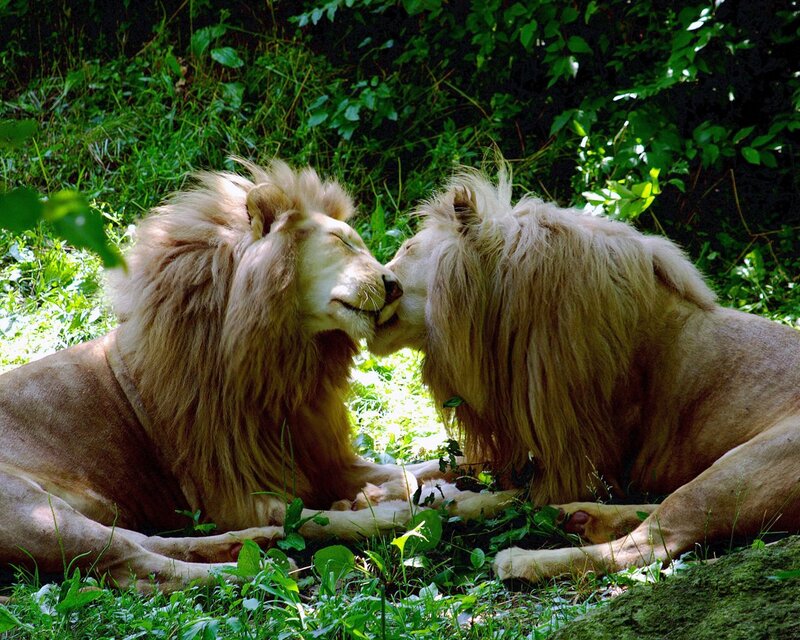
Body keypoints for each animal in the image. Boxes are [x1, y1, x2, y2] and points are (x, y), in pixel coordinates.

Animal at [0, 159, 421, 592]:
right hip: (34, 514)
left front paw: (413, 484)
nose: (395, 287)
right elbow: (322, 520)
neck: (285, 365)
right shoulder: (234, 495)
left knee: (148, 545)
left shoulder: (315, 458)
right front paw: (397, 510)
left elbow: (407, 469)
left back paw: (253, 544)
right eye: (343, 242)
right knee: (138, 567)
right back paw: (261, 567)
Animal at [368, 168, 800, 583]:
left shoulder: (579, 455)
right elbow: (444, 463)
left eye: (407, 249)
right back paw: (577, 516)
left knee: (650, 542)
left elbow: (496, 494)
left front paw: (438, 501)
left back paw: (523, 560)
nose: (377, 280)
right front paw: (385, 485)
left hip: (744, 465)